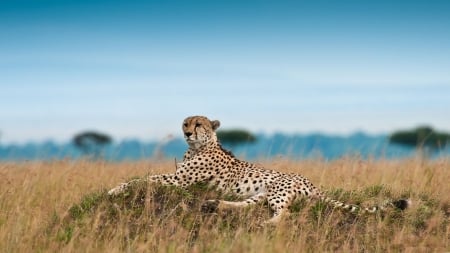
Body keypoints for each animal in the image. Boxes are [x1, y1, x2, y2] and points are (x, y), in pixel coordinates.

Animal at [108, 115, 408, 222]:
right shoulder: (177, 177)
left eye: (199, 124)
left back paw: (266, 222)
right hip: (262, 193)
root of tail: (312, 183)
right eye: (186, 123)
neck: (198, 147)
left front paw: (114, 189)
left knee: (284, 215)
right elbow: (145, 177)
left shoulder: (179, 181)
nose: (187, 133)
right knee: (249, 205)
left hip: (276, 191)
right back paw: (216, 204)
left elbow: (143, 178)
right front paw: (116, 187)